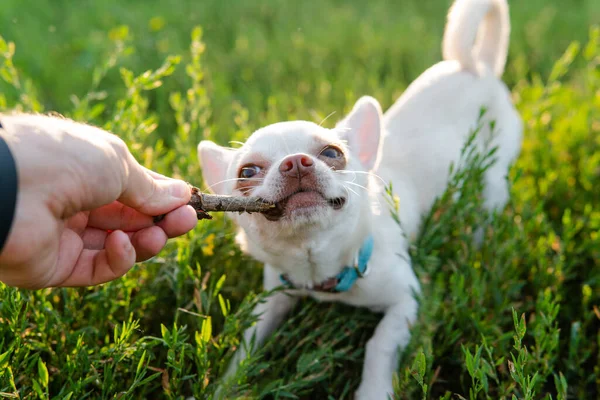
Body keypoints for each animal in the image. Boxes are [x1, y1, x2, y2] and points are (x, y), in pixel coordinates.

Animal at [196, 0, 520, 396]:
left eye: (332, 153)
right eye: (246, 172)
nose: (295, 162)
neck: (321, 269)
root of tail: (476, 66)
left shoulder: (406, 301)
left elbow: (378, 345)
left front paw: (374, 392)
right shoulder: (275, 297)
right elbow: (247, 345)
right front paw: (227, 385)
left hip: (493, 180)